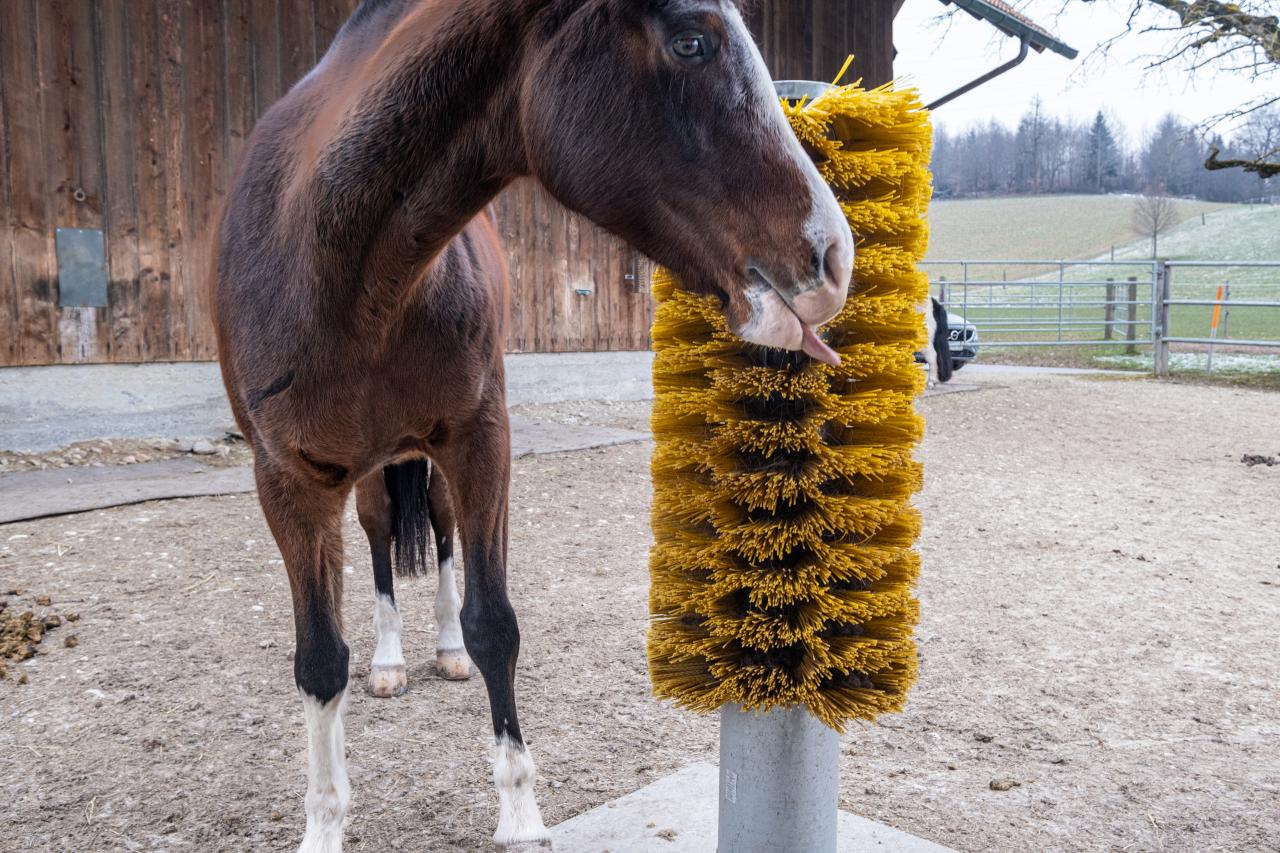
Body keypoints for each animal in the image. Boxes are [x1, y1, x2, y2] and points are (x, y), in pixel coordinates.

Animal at [210, 1, 854, 850]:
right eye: (691, 41)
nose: (833, 256)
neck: (347, 277)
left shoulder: (482, 443)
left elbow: (493, 624)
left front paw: (519, 812)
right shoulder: (286, 481)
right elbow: (319, 660)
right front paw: (322, 824)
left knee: (441, 537)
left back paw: (441, 649)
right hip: (371, 475)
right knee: (382, 545)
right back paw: (389, 659)